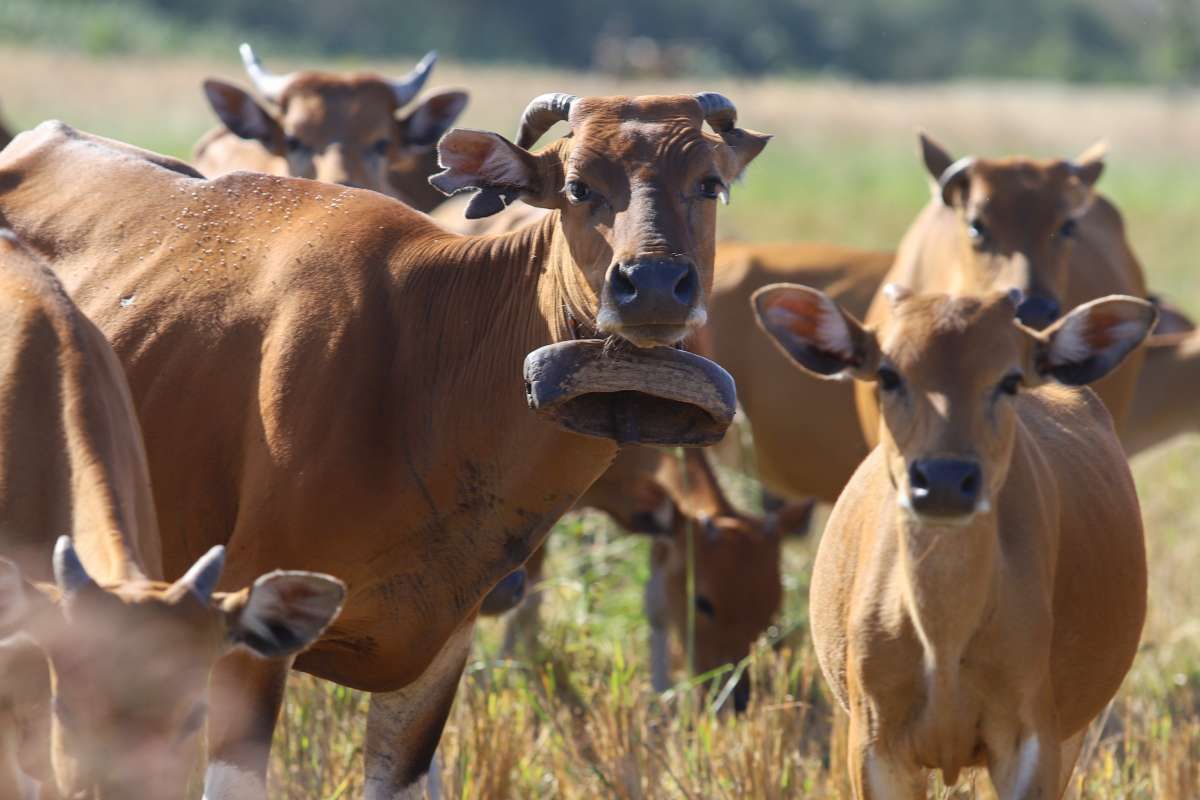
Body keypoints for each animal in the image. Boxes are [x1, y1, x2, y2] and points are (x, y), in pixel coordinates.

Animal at [753, 287, 1156, 800]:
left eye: (1009, 379)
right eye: (888, 374)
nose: (944, 479)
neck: (943, 648)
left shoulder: (1032, 734)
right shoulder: (873, 741)